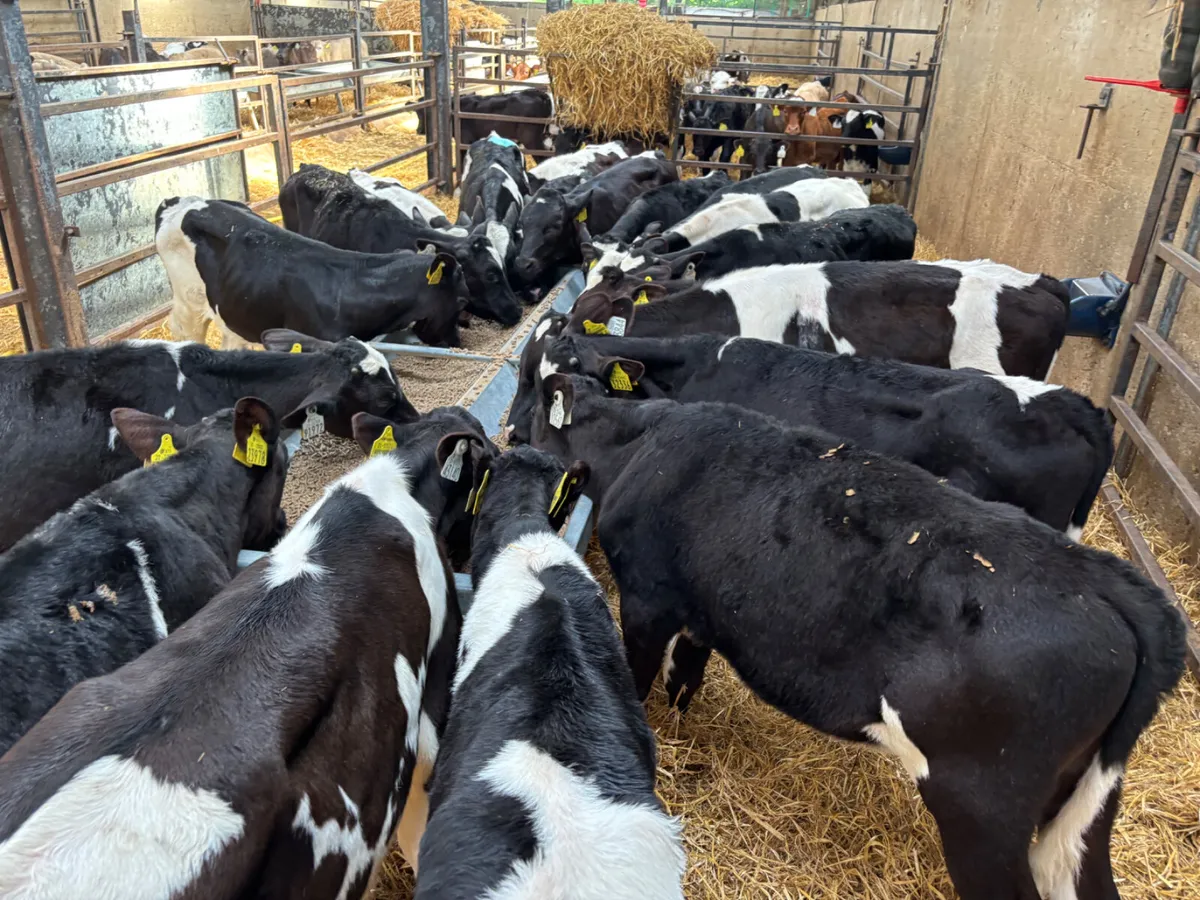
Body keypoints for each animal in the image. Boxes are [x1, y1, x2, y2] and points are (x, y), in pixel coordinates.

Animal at [531, 376, 1185, 900]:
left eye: (528, 406)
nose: (513, 435)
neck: (642, 442)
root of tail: (1108, 581)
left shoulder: (646, 600)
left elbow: (638, 680)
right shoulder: (700, 612)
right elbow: (686, 670)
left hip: (984, 806)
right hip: (1084, 805)